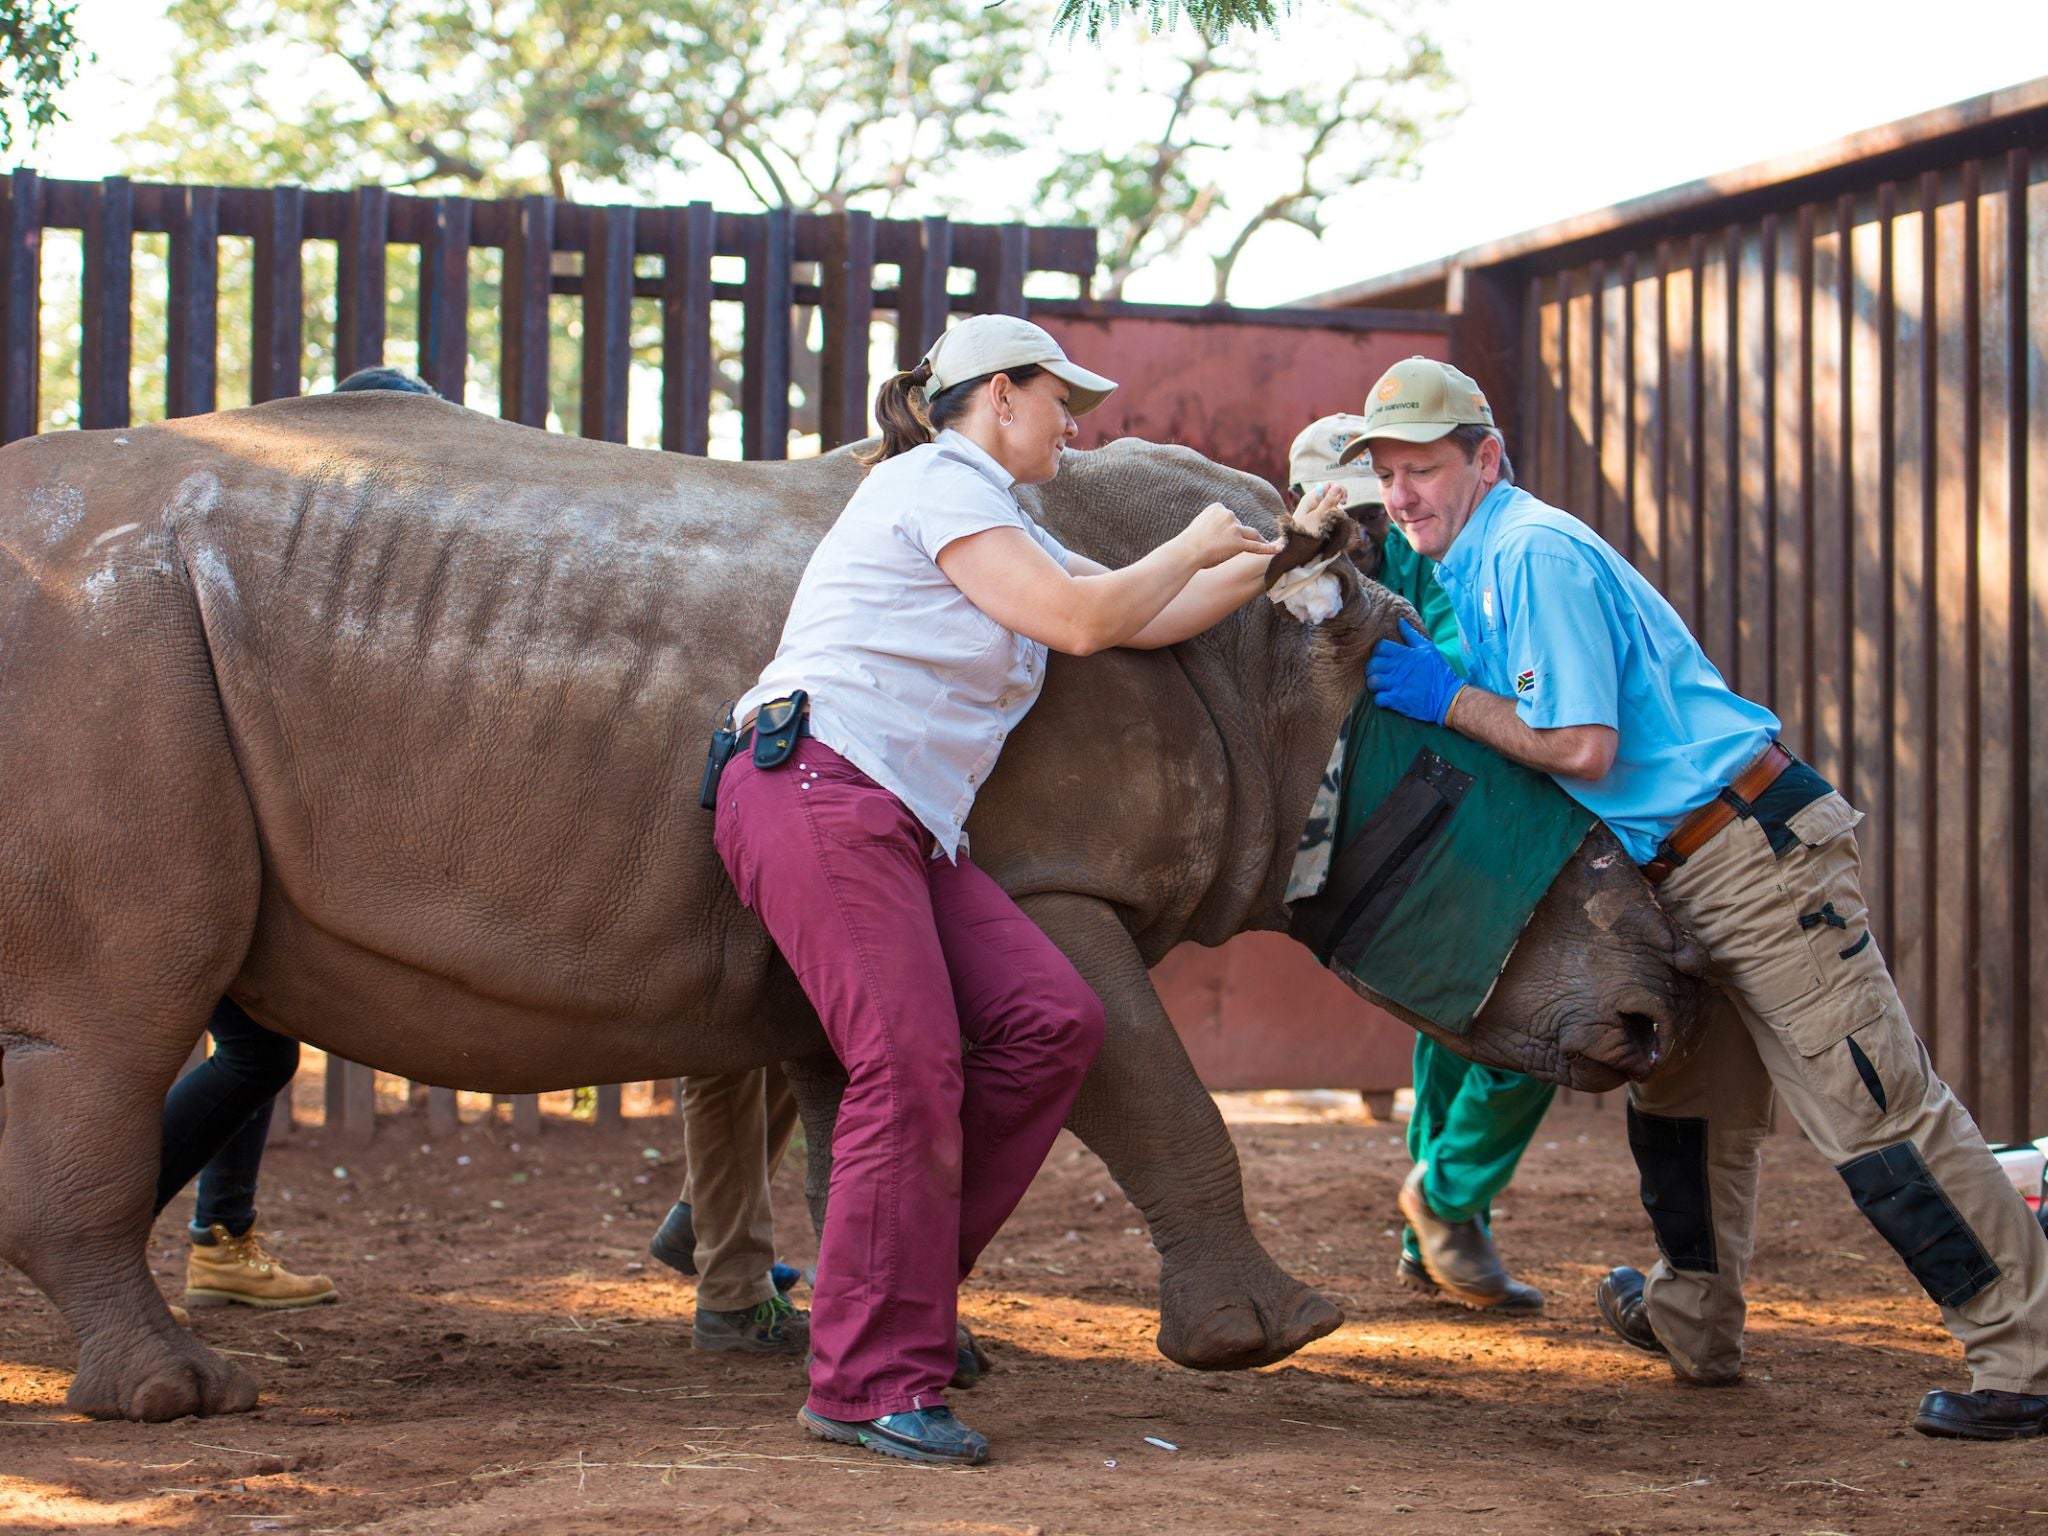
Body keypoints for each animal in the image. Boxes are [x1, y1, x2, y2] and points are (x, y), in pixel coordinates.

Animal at [0, 391, 1703, 1425]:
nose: (1653, 1019)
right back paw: (176, 1399)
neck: (1304, 688)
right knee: (120, 1017)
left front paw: (932, 1351)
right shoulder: (1049, 879)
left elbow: (864, 1105)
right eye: (1585, 853)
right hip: (106, 644)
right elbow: (1150, 1087)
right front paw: (1275, 1336)